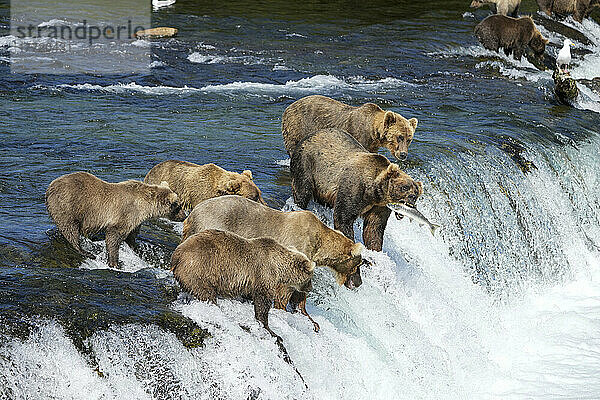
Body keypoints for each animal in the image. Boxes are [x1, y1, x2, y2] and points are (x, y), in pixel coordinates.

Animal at [46, 170, 184, 268]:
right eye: (178, 206)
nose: (184, 216)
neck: (144, 206)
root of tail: (49, 187)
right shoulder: (126, 213)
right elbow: (114, 235)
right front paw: (114, 262)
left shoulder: (135, 220)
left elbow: (131, 236)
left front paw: (136, 249)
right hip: (68, 206)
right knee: (70, 229)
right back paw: (85, 251)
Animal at [171, 230, 316, 342]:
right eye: (310, 278)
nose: (310, 288)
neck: (279, 267)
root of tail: (177, 253)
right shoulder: (264, 273)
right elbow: (262, 302)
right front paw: (272, 331)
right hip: (199, 269)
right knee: (206, 293)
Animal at [183, 196, 364, 332]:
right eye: (359, 265)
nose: (359, 282)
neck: (318, 245)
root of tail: (191, 215)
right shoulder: (295, 250)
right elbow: (286, 289)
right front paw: (283, 309)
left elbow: (300, 293)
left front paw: (310, 318)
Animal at [282, 94, 418, 161]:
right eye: (399, 137)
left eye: (409, 139)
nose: (403, 154)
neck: (373, 132)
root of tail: (288, 107)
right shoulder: (359, 135)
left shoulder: (372, 146)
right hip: (298, 126)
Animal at [290, 128, 422, 252]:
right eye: (404, 187)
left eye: (416, 194)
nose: (412, 198)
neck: (373, 192)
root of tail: (310, 135)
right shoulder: (354, 188)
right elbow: (343, 217)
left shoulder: (380, 206)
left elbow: (374, 227)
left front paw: (374, 248)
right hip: (307, 164)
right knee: (302, 191)